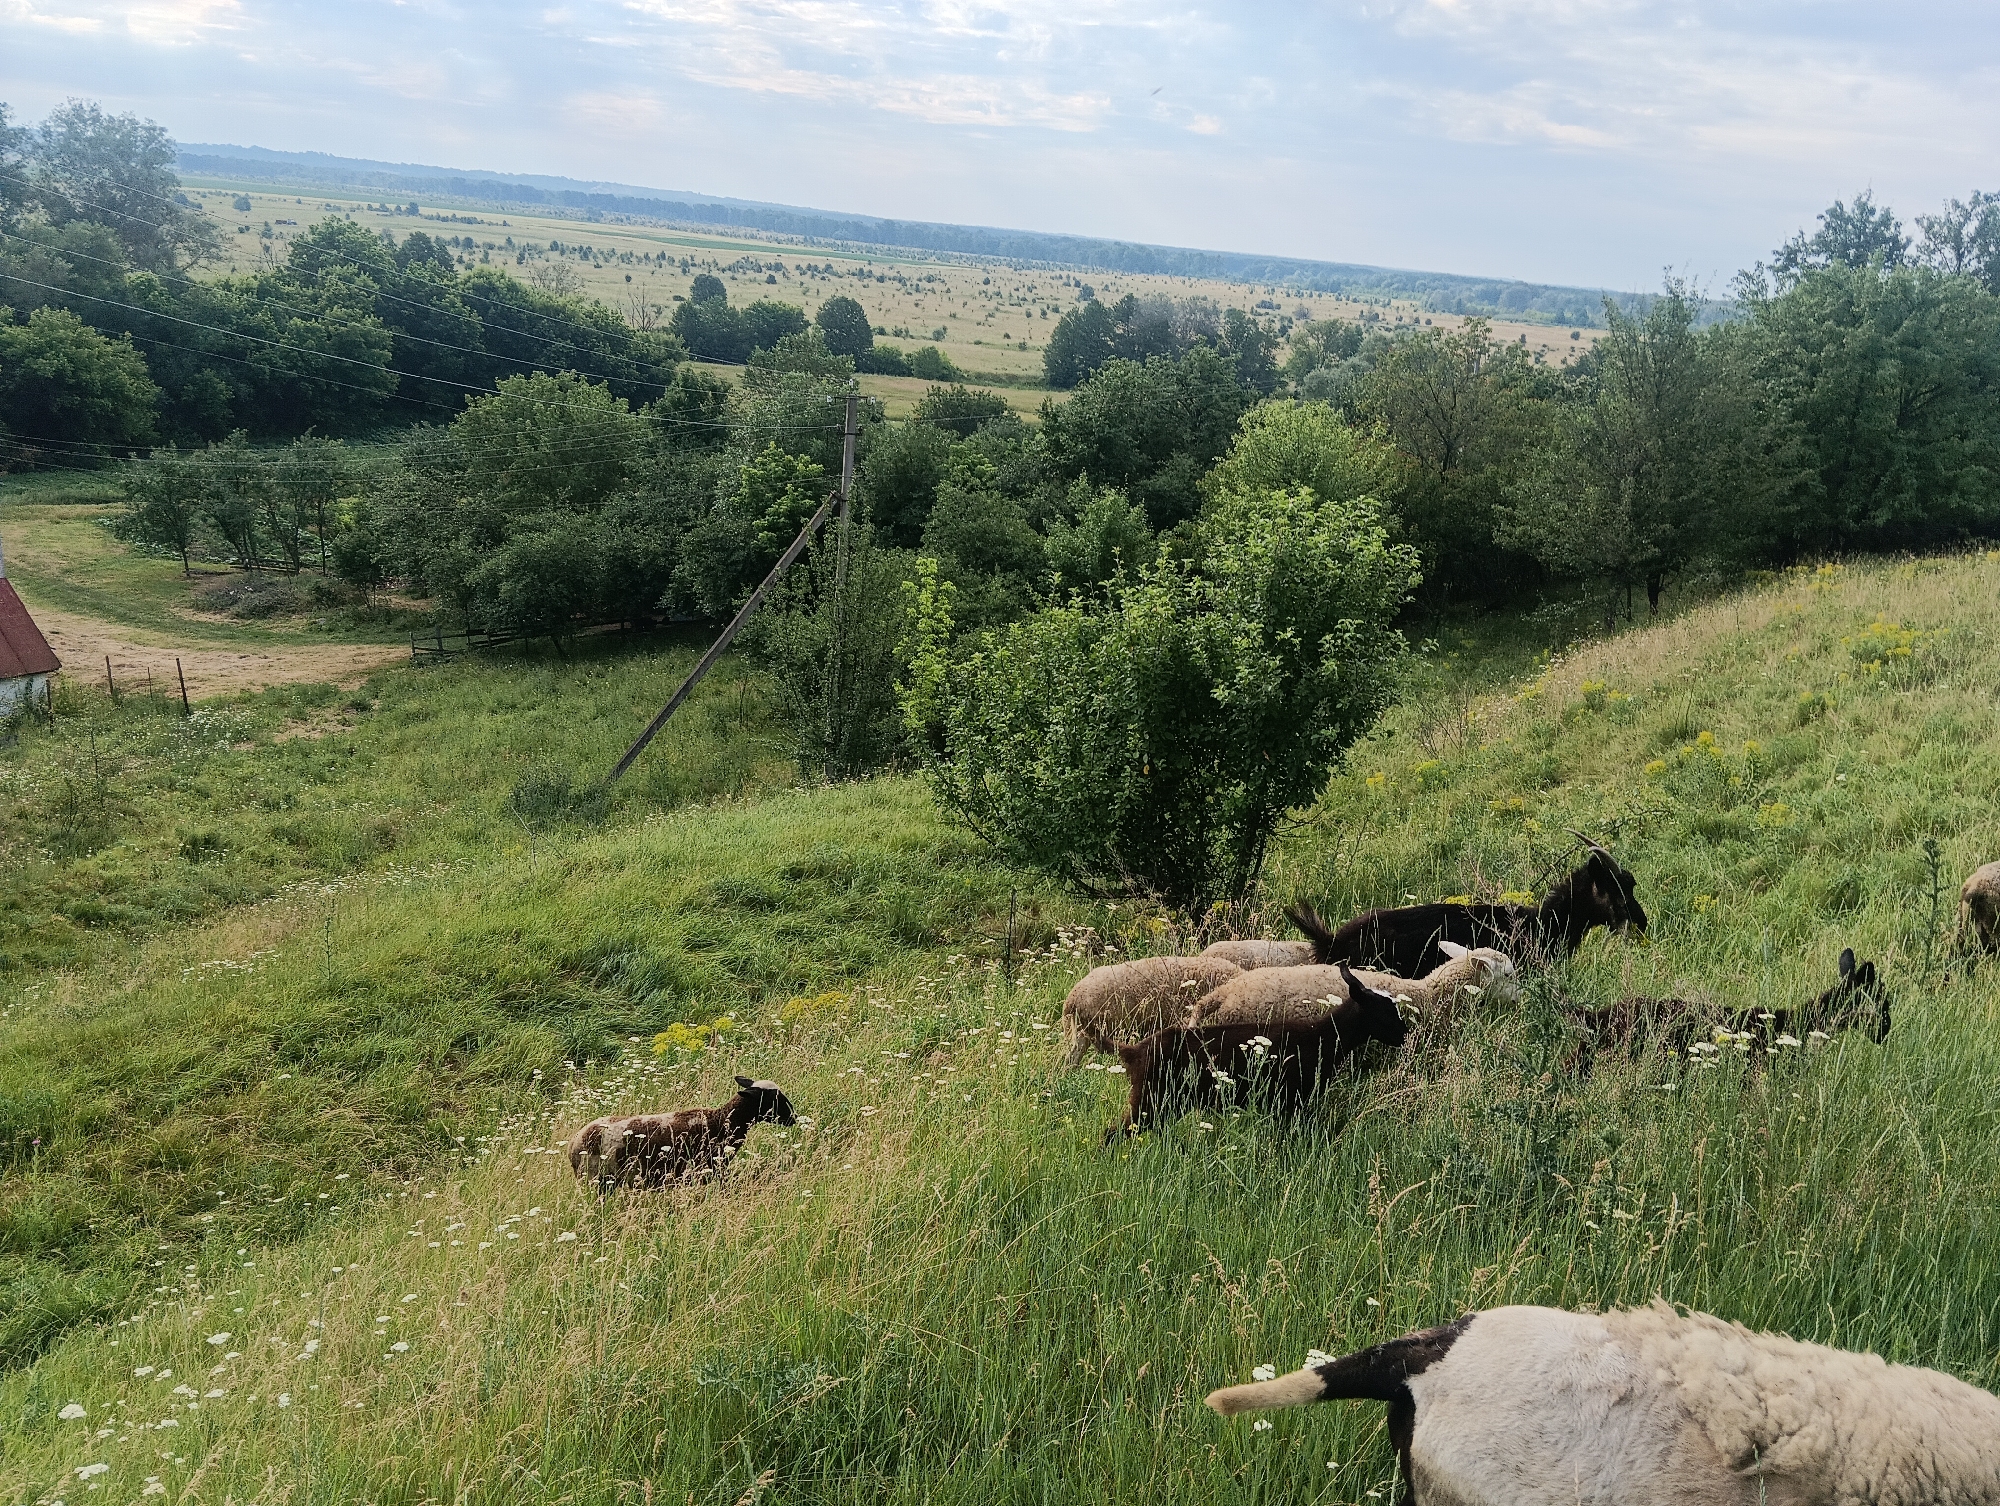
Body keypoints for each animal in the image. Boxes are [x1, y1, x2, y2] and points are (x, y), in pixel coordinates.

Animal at [1107, 964, 1408, 1139]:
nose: (1403, 1034)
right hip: (1150, 1099)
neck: (1324, 1037)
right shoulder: (1291, 1100)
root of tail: (1134, 1051)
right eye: (1384, 1011)